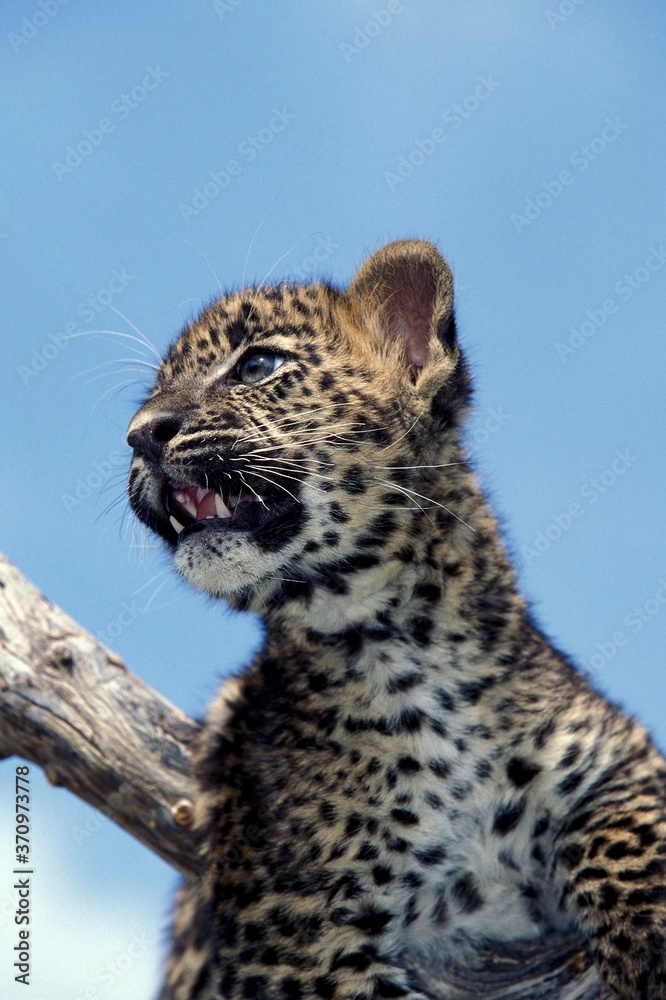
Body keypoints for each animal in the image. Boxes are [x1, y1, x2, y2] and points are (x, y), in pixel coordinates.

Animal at [126, 239, 666, 999]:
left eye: (258, 366)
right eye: (150, 399)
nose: (140, 436)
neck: (401, 645)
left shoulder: (616, 754)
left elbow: (630, 837)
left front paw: (651, 942)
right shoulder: (288, 929)